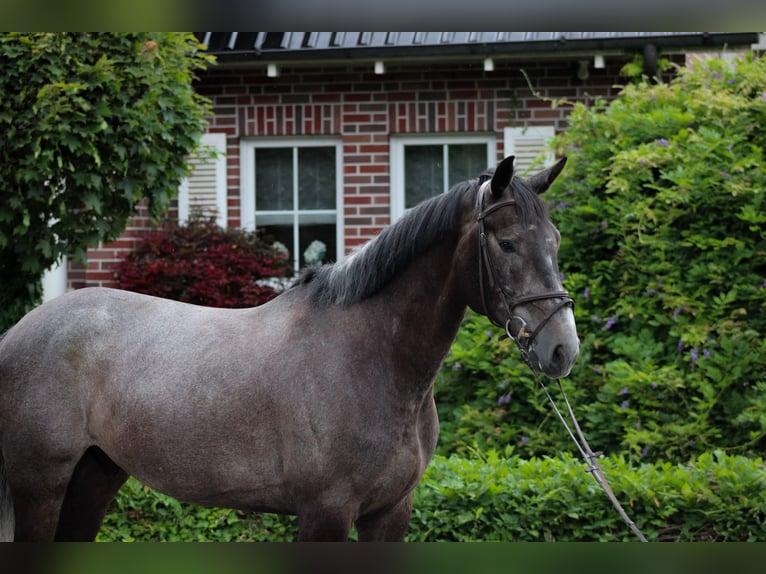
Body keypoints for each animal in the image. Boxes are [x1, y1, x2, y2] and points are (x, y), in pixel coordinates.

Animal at [0, 154, 579, 542]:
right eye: (506, 243)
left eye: (554, 241)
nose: (562, 349)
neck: (369, 359)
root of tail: (17, 331)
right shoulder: (325, 513)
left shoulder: (389, 513)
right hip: (40, 488)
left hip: (93, 479)